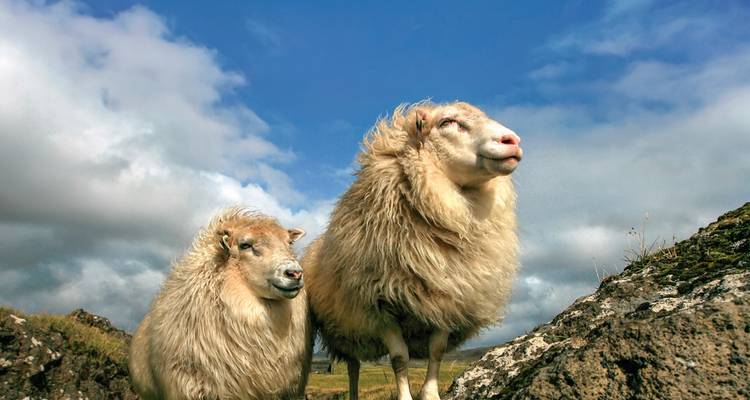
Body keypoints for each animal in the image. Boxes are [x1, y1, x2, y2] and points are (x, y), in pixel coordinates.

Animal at [302, 101, 522, 400]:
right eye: (447, 122)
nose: (513, 141)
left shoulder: (448, 299)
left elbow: (436, 352)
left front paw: (430, 394)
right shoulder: (380, 307)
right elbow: (400, 359)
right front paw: (405, 396)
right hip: (346, 329)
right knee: (353, 366)